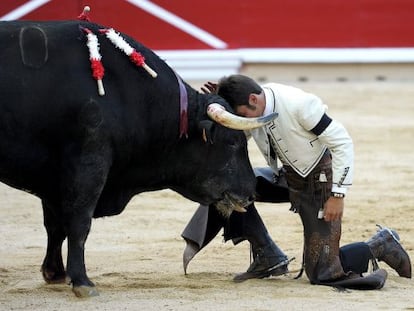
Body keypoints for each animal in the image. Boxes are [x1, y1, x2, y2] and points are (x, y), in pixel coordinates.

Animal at [0, 20, 258, 298]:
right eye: (233, 142)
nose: (251, 193)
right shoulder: (88, 162)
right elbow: (79, 222)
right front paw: (82, 281)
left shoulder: (53, 177)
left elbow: (55, 225)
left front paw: (55, 273)